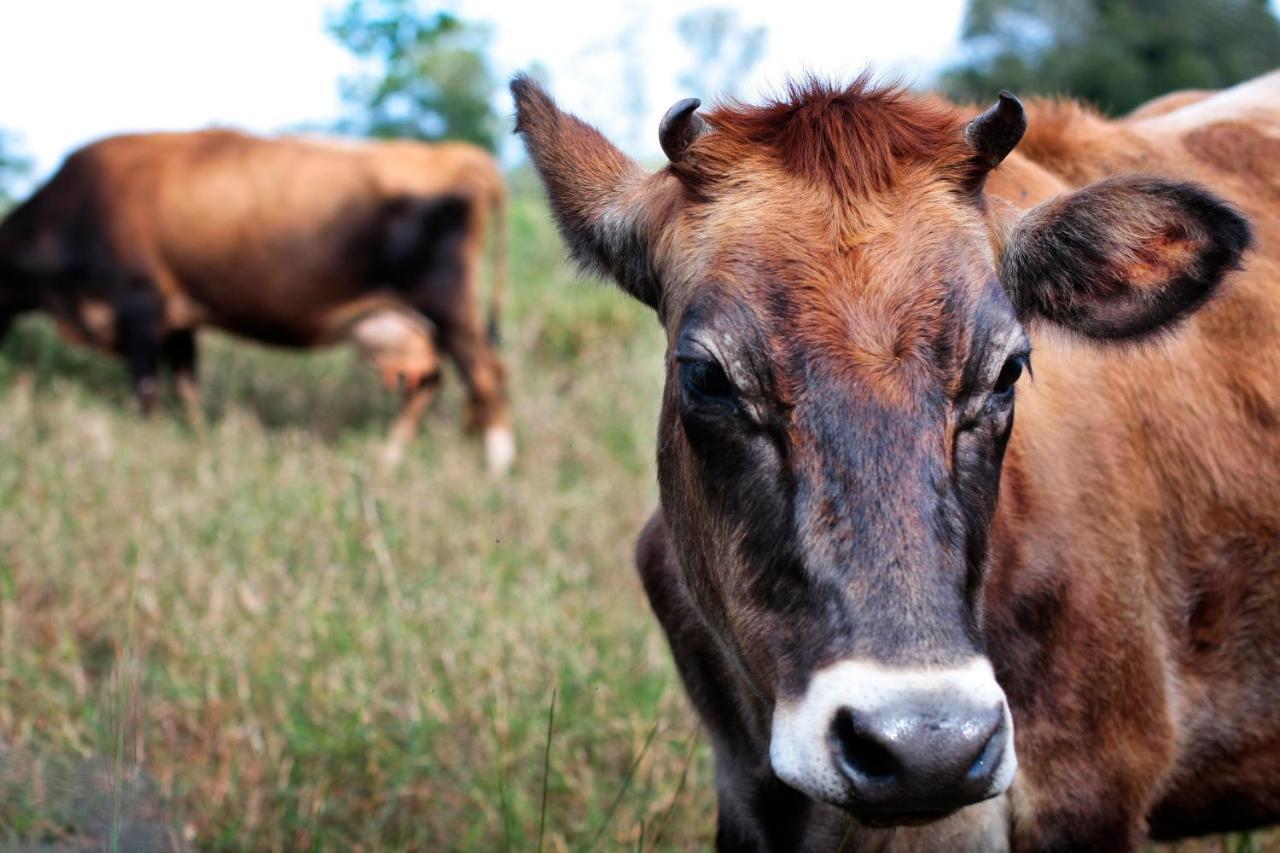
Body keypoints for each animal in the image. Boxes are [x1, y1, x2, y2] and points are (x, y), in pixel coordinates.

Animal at [3, 129, 519, 471]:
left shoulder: (138, 304)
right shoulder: (179, 317)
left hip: (448, 306)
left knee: (485, 374)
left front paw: (149, 444)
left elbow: (146, 390)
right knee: (428, 380)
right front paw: (195, 438)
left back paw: (498, 464)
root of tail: (458, 156)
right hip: (406, 319)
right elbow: (187, 387)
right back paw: (390, 455)